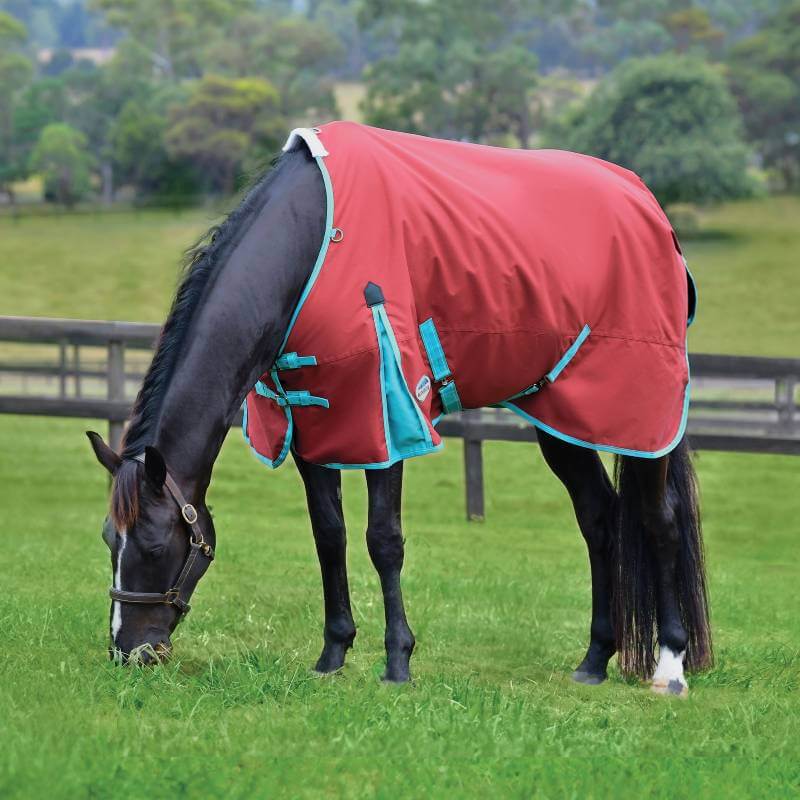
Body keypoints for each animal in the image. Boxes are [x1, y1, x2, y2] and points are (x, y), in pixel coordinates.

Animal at [87, 122, 712, 696]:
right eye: (108, 540)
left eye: (152, 546)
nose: (129, 652)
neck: (312, 242)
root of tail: (651, 212)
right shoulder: (313, 425)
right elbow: (329, 535)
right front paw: (333, 654)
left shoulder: (388, 418)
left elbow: (383, 540)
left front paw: (397, 662)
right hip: (563, 419)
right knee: (599, 518)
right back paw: (594, 660)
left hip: (640, 416)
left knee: (659, 520)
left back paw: (670, 666)